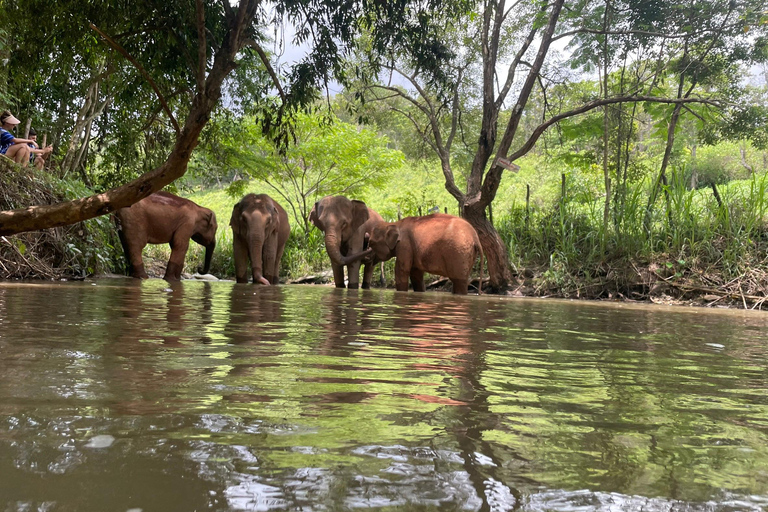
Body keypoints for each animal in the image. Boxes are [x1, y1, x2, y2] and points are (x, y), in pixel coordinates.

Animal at [350, 214, 484, 296]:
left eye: (371, 242)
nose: (367, 256)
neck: (396, 223)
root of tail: (475, 237)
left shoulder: (405, 245)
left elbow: (401, 270)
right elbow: (416, 274)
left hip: (459, 253)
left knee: (459, 280)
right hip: (468, 255)